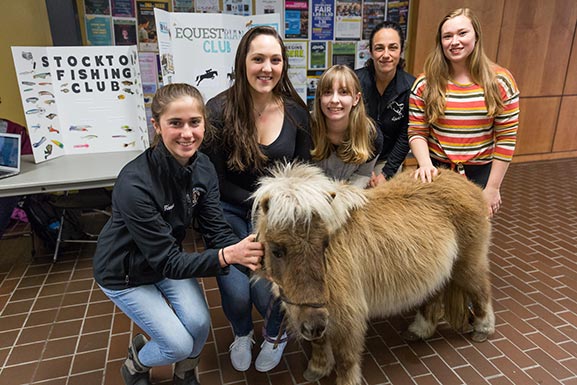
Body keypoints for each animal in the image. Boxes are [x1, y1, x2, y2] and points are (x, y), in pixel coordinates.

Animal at [250, 162, 492, 384]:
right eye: (277, 250)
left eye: (325, 244)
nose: (314, 325)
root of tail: (466, 182)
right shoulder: (312, 313)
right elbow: (318, 343)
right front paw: (317, 369)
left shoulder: (347, 315)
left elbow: (346, 358)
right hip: (439, 273)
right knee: (433, 297)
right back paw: (419, 330)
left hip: (467, 264)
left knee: (481, 291)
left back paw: (483, 329)